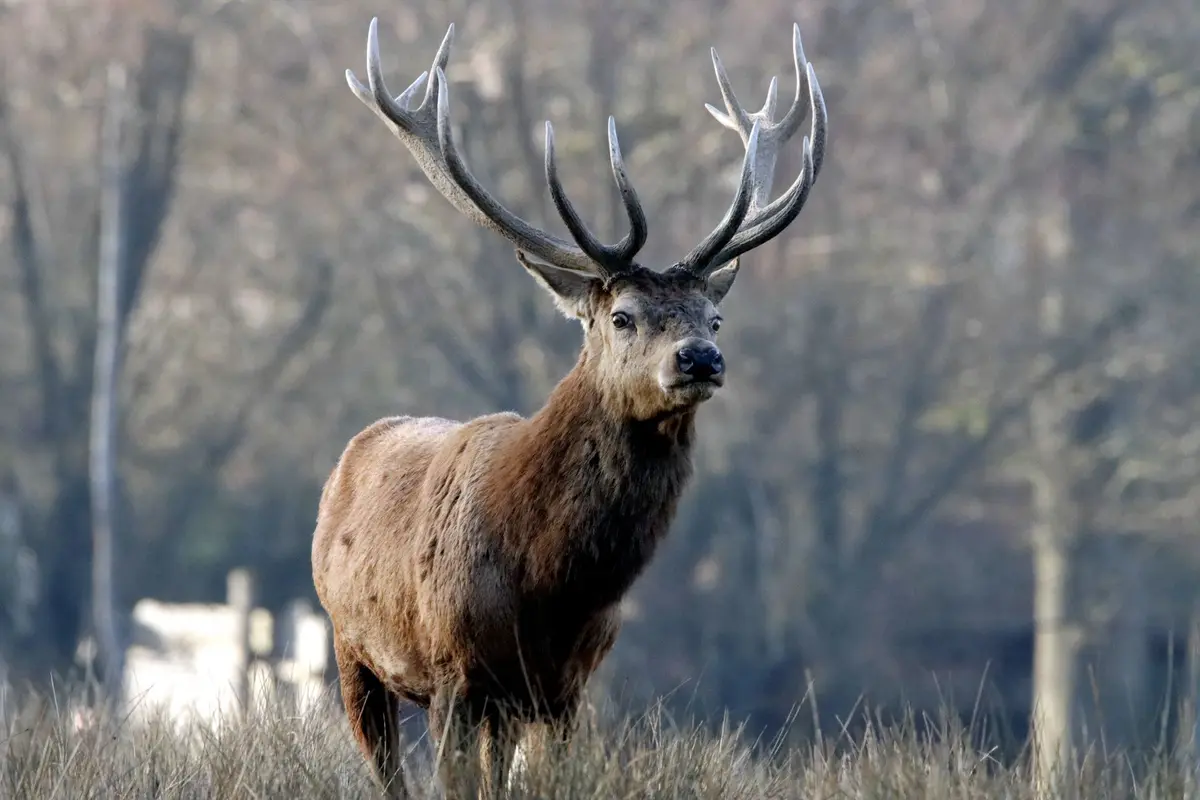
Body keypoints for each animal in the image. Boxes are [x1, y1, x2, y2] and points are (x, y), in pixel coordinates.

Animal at [312, 15, 826, 799]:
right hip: (351, 647)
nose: (700, 360)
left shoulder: (565, 687)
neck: (546, 584)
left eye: (715, 319)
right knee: (387, 769)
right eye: (622, 316)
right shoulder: (454, 673)